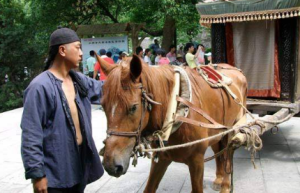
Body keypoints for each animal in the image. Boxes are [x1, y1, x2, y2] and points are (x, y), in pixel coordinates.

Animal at [97, 54, 247, 193]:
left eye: (133, 107)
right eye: (103, 105)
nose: (111, 165)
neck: (176, 111)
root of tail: (236, 70)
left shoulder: (197, 160)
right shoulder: (162, 158)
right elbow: (149, 188)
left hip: (233, 127)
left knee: (228, 152)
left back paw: (226, 185)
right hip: (218, 130)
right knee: (219, 149)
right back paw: (219, 178)